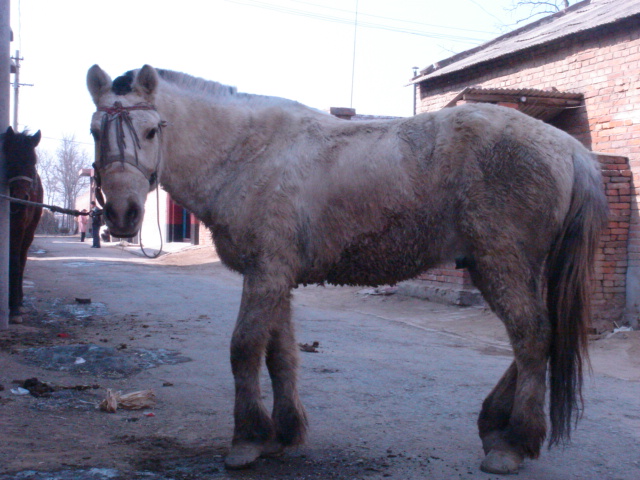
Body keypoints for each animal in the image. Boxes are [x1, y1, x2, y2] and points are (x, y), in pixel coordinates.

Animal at [86, 64, 608, 476]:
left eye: (151, 131)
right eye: (95, 130)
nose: (122, 215)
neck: (250, 153)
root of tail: (568, 148)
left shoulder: (265, 274)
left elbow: (244, 350)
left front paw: (247, 441)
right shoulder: (275, 277)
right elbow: (280, 355)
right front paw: (283, 434)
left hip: (504, 262)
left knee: (531, 336)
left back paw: (513, 444)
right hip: (504, 266)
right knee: (539, 338)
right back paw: (496, 427)